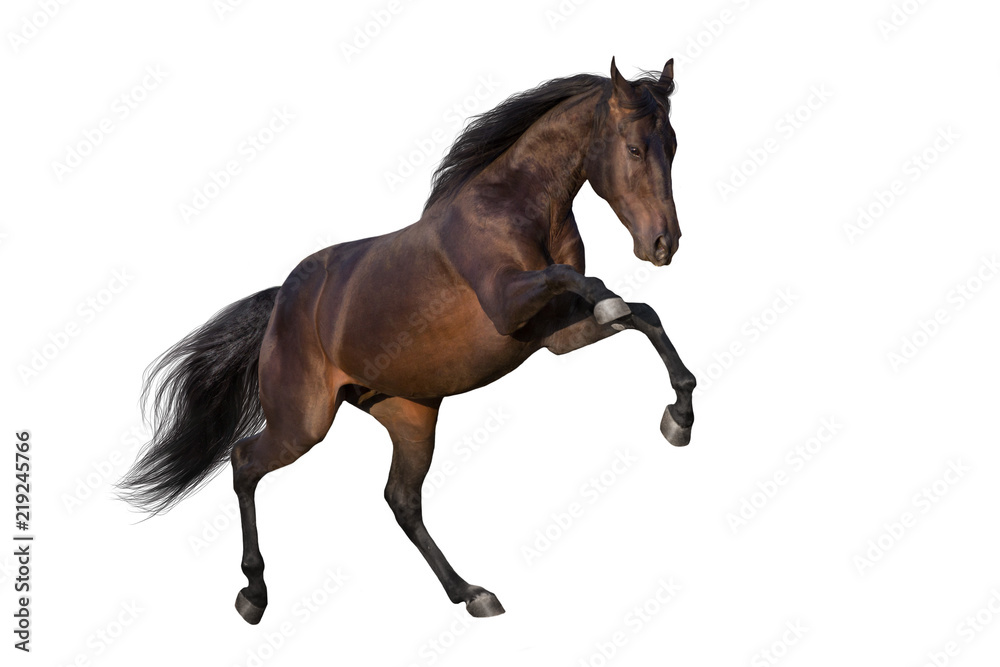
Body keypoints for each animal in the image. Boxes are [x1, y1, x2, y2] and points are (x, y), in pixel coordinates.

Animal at [119, 57, 696, 625]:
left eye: (673, 146)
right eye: (634, 148)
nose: (663, 244)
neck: (514, 207)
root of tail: (282, 301)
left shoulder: (558, 334)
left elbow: (644, 316)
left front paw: (679, 419)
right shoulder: (508, 304)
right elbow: (590, 285)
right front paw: (666, 396)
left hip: (409, 413)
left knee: (401, 500)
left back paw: (471, 593)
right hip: (302, 423)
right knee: (244, 463)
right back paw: (253, 595)